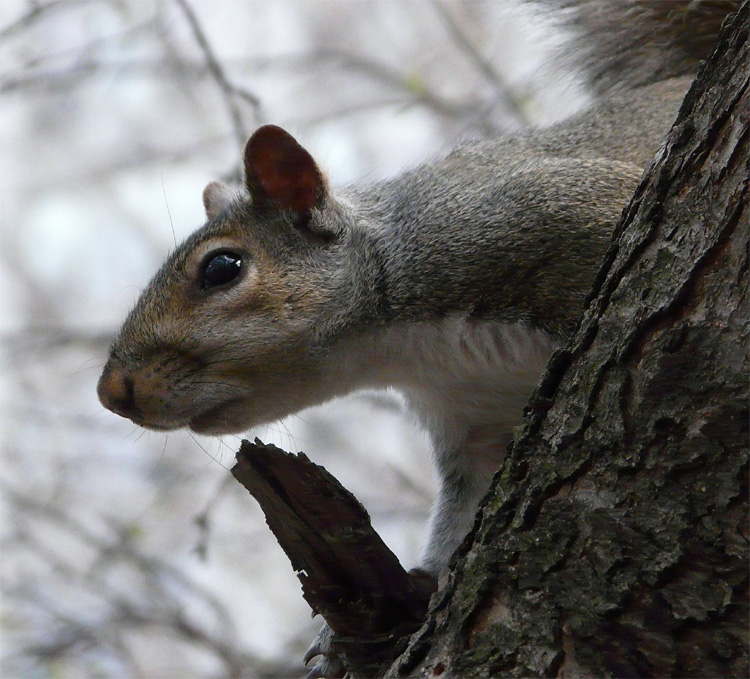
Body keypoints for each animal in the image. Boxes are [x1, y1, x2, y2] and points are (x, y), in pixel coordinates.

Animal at [97, 2, 736, 676]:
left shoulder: (557, 211)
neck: (406, 348)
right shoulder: (477, 418)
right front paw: (410, 595)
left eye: (222, 268)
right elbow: (470, 505)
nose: (113, 392)